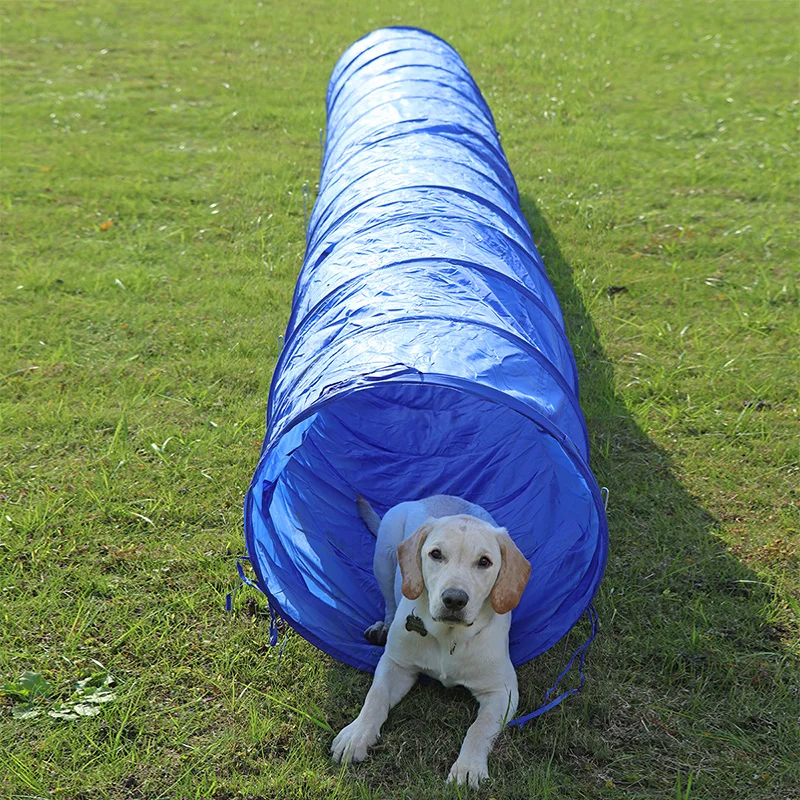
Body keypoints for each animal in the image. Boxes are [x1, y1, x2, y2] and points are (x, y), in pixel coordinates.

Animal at [332, 494, 532, 788]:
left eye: (484, 562)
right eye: (436, 554)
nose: (454, 599)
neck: (449, 638)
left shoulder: (502, 691)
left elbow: (479, 727)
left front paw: (468, 766)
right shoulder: (395, 665)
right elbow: (375, 697)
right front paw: (356, 735)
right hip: (384, 555)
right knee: (389, 602)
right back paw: (383, 626)